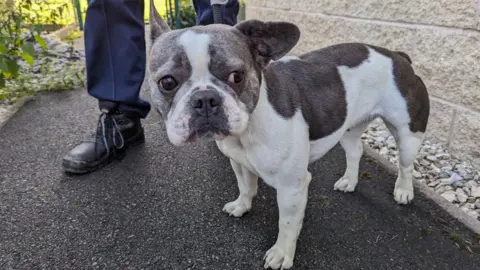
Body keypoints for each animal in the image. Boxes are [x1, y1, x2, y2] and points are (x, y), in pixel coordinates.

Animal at [147, 1, 432, 268]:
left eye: (237, 76)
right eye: (167, 82)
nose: (205, 99)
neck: (249, 126)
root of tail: (398, 56)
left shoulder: (291, 187)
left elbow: (287, 224)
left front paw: (281, 254)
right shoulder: (238, 162)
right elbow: (245, 187)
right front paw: (242, 205)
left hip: (408, 133)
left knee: (406, 165)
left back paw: (403, 191)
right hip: (349, 128)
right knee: (355, 151)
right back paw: (349, 181)